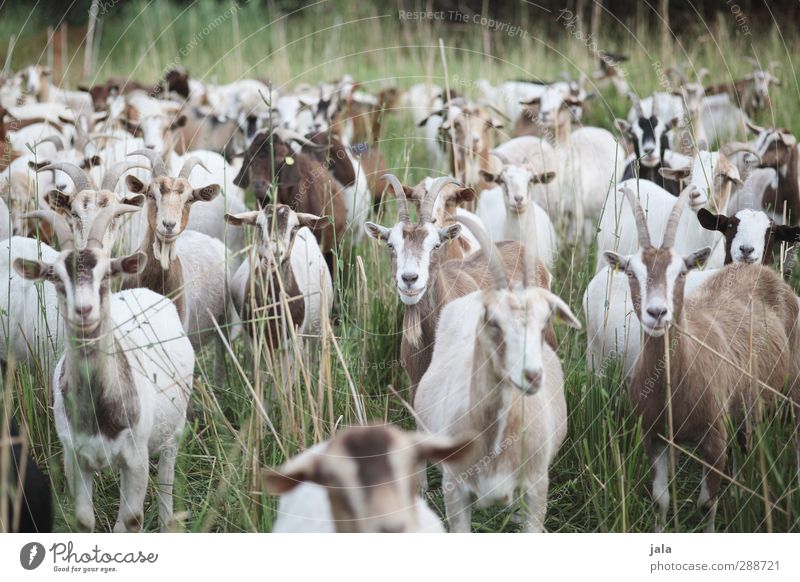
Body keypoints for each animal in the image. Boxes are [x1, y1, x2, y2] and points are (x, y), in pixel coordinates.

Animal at [14, 210, 195, 532]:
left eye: (108, 272)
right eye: (54, 276)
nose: (83, 310)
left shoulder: (136, 459)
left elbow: (130, 521)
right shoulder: (74, 457)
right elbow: (85, 520)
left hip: (173, 431)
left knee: (166, 480)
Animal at [604, 187, 800, 532]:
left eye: (681, 272)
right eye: (631, 272)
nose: (657, 313)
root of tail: (757, 270)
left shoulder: (715, 440)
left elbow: (707, 504)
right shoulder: (654, 437)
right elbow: (660, 500)